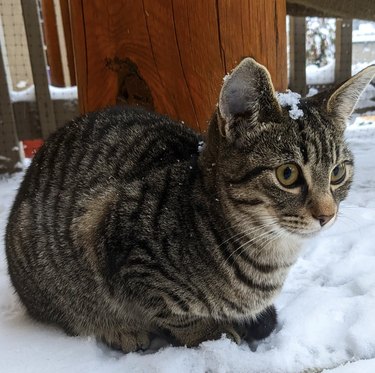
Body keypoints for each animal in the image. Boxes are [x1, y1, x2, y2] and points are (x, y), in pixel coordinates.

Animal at [5, 58, 375, 352]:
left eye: (338, 172)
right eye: (288, 174)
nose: (327, 215)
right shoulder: (114, 238)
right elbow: (176, 313)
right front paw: (211, 333)